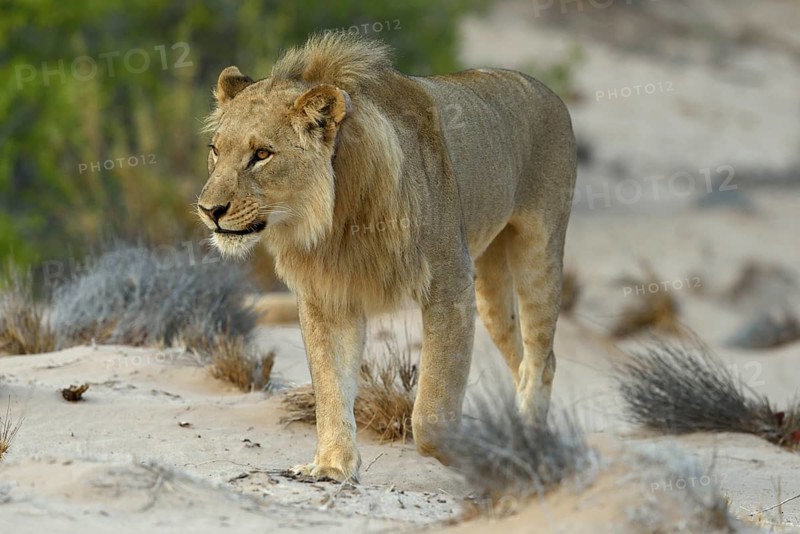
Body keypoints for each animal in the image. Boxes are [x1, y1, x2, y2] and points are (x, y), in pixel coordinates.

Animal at [197, 33, 577, 482]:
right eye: (215, 150)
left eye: (261, 155)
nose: (208, 210)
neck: (333, 217)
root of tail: (546, 90)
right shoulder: (328, 296)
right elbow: (330, 386)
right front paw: (332, 465)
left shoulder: (450, 284)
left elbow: (432, 408)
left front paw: (471, 451)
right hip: (489, 287)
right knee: (520, 358)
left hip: (539, 249)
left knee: (542, 358)